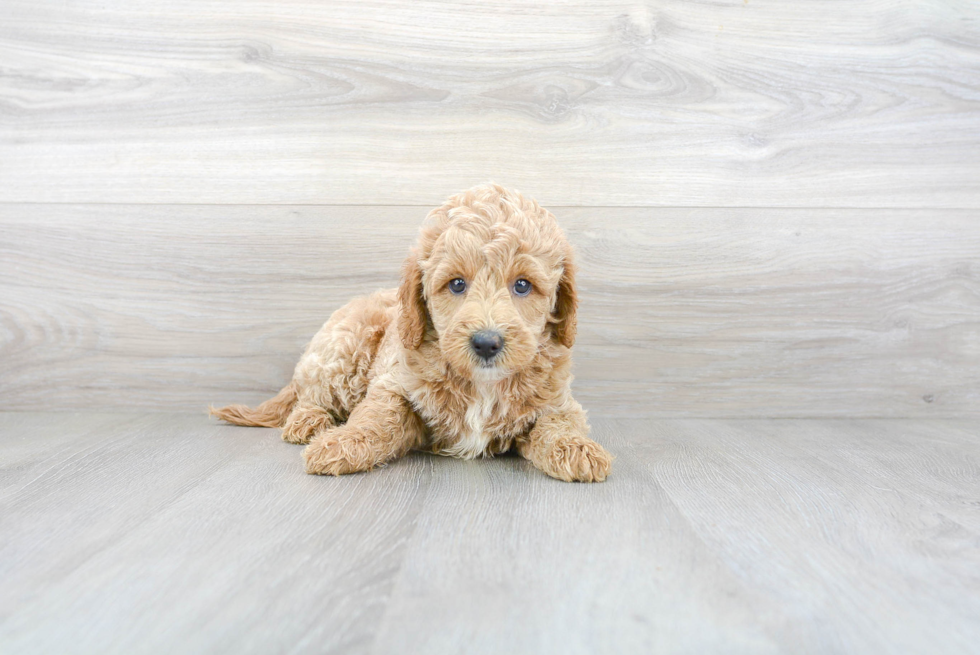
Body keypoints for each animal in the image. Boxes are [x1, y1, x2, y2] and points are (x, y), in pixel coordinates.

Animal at [212, 184, 612, 482]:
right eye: (456, 284)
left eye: (523, 285)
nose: (487, 342)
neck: (481, 385)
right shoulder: (395, 382)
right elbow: (377, 417)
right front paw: (340, 443)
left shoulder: (557, 401)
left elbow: (559, 423)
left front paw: (578, 449)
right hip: (345, 348)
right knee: (312, 393)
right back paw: (308, 421)